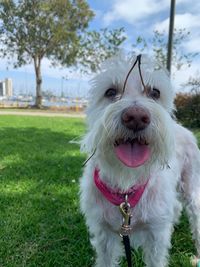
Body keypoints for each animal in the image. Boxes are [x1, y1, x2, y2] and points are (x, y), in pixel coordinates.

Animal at [79, 53, 200, 266]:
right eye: (110, 91)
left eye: (155, 92)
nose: (136, 117)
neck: (126, 185)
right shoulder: (104, 234)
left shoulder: (156, 235)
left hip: (191, 188)